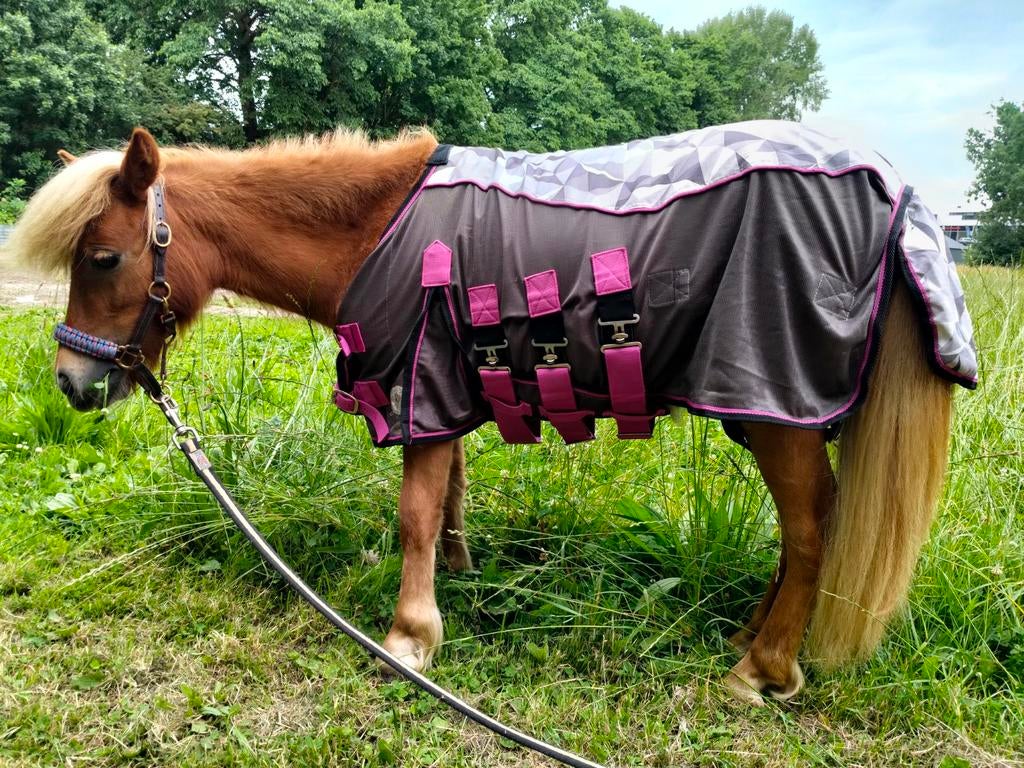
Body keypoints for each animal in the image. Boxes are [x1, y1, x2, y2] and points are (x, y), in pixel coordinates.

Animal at [4, 123, 974, 706]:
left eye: (103, 256)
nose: (72, 384)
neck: (377, 229)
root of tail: (895, 197)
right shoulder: (446, 387)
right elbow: (450, 496)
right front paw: (458, 575)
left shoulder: (421, 382)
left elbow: (413, 511)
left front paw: (410, 635)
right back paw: (754, 638)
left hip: (776, 410)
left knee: (811, 530)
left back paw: (760, 668)